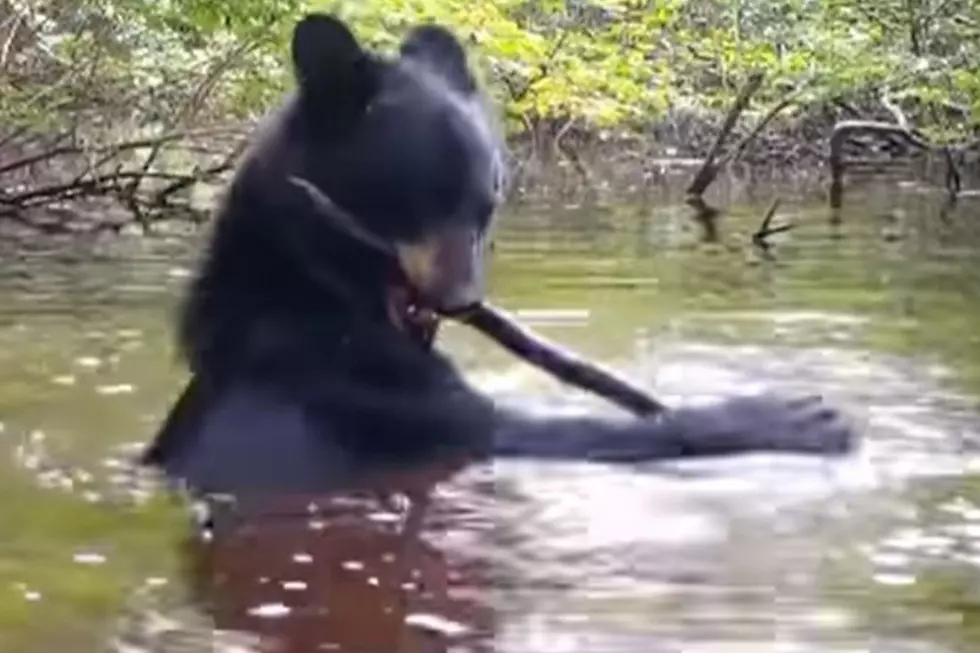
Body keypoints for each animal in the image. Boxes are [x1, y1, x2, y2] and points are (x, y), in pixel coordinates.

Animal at [142, 14, 852, 494]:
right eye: (417, 196)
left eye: (489, 197)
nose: (463, 301)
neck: (313, 288)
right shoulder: (367, 393)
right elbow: (557, 432)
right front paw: (786, 417)